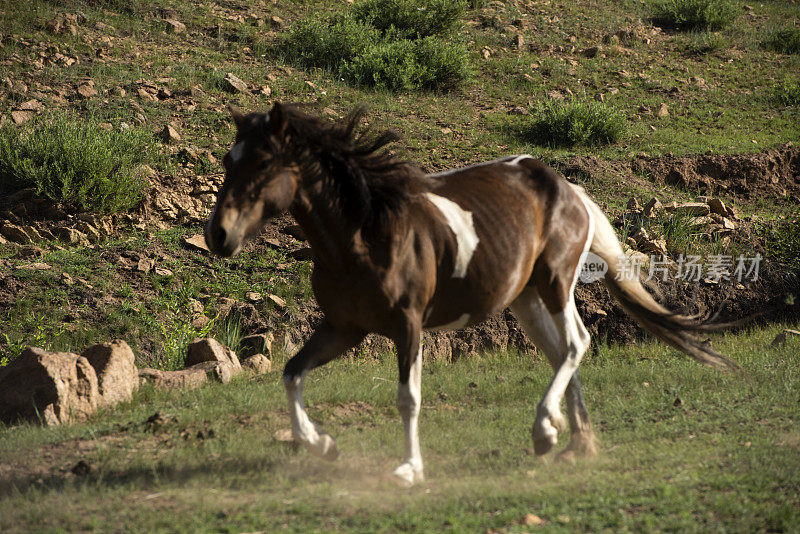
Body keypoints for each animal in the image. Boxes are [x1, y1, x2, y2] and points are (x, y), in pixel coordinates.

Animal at [205, 102, 736, 488]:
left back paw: (547, 429)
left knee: (577, 343)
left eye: (263, 161)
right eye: (229, 160)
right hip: (524, 299)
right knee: (561, 351)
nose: (218, 235)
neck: (365, 234)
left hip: (555, 282)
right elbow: (292, 374)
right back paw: (569, 442)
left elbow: (408, 398)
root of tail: (569, 189)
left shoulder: (408, 325)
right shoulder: (343, 329)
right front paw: (323, 445)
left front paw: (409, 469)